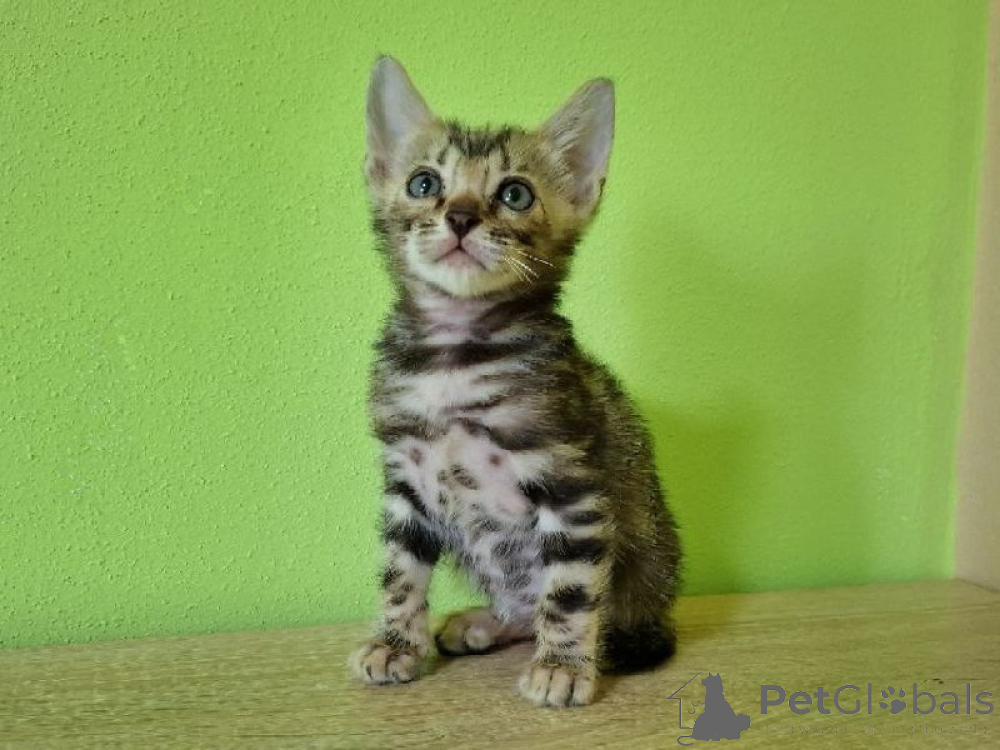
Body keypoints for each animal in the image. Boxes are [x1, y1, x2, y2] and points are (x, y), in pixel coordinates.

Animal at [348, 57, 681, 708]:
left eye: (515, 194)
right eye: (424, 183)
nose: (460, 216)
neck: (453, 357)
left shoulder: (570, 483)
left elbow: (571, 588)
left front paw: (563, 667)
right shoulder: (406, 481)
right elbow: (400, 571)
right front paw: (395, 643)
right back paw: (488, 622)